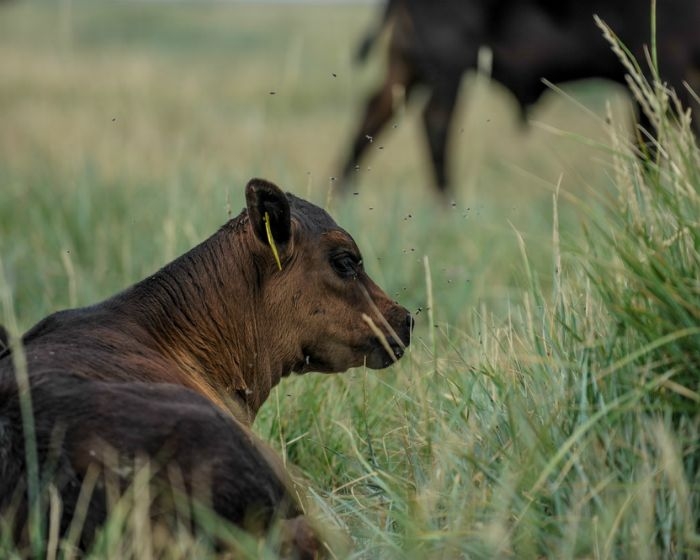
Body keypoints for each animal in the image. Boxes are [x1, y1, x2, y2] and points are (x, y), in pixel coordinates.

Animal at [340, 0, 700, 195]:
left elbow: (647, 150)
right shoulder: (664, 70)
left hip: (406, 65)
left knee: (372, 115)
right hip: (448, 66)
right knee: (436, 123)